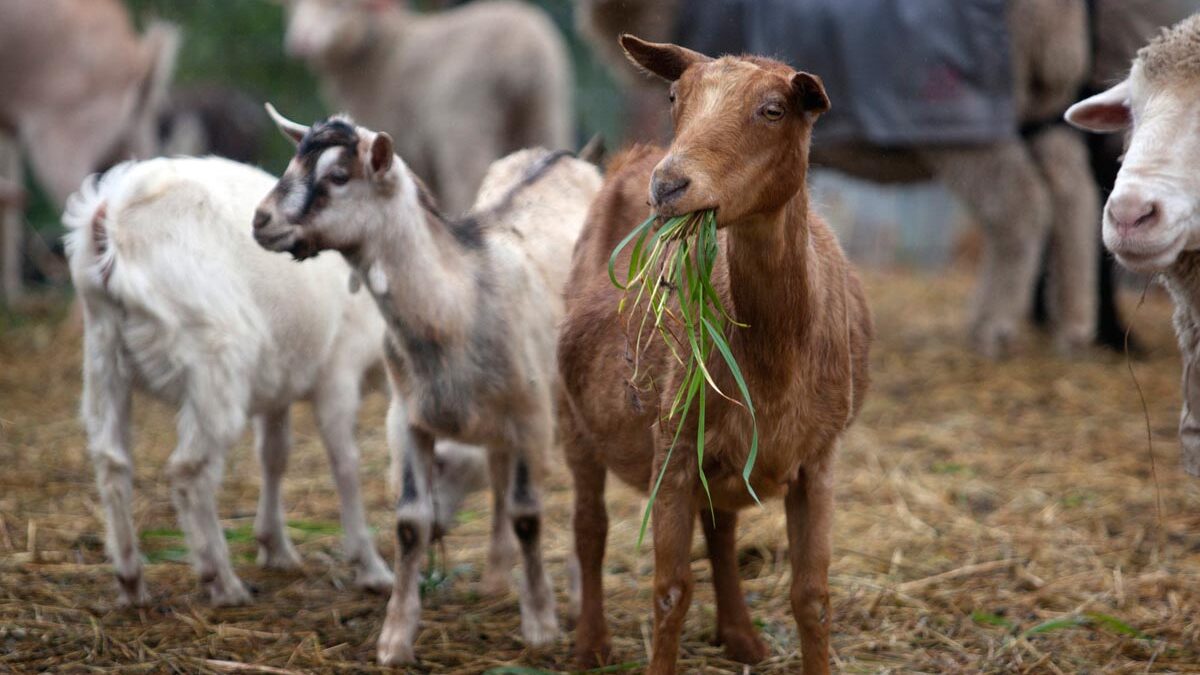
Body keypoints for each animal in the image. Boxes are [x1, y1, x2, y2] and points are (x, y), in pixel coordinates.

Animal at [254, 106, 604, 662]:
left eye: (338, 176)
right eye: (293, 161)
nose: (261, 220)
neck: (455, 304)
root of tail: (566, 155)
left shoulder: (530, 413)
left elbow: (529, 514)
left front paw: (541, 626)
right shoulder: (407, 418)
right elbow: (411, 522)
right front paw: (395, 638)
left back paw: (572, 593)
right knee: (498, 475)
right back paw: (495, 579)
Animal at [285, 0, 576, 213]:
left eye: (339, 5)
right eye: (296, 6)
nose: (301, 41)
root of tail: (522, 53)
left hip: (465, 122)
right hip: (544, 109)